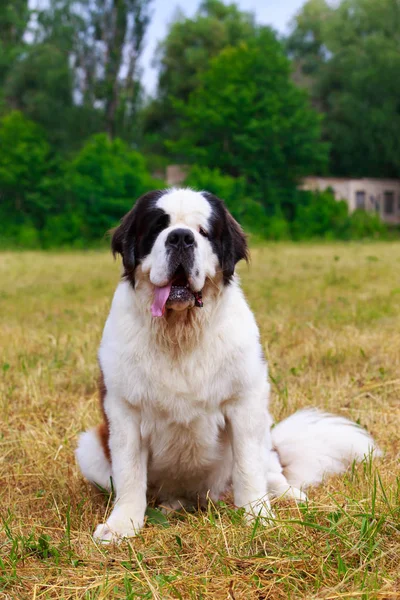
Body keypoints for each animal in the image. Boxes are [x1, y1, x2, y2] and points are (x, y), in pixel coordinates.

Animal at [76, 188, 382, 544]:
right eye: (158, 227)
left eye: (203, 231)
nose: (181, 238)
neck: (180, 333)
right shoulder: (123, 411)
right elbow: (129, 474)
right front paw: (122, 525)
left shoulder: (245, 402)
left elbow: (248, 467)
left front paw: (258, 517)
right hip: (89, 448)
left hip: (265, 433)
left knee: (271, 472)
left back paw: (290, 496)